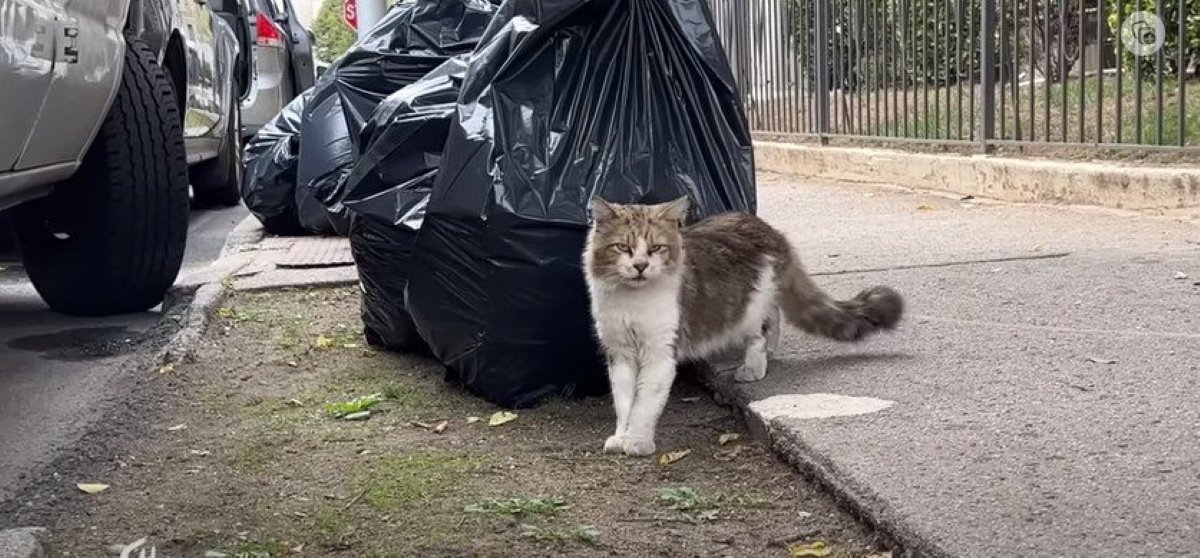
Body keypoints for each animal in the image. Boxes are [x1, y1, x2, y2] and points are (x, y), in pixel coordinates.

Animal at [580, 198, 902, 453]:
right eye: (622, 247)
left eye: (656, 248)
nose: (640, 266)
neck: (632, 302)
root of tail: (766, 227)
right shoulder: (619, 353)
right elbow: (624, 402)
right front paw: (620, 437)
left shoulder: (660, 353)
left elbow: (644, 403)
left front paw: (637, 441)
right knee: (774, 314)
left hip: (747, 310)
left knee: (759, 332)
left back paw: (753, 366)